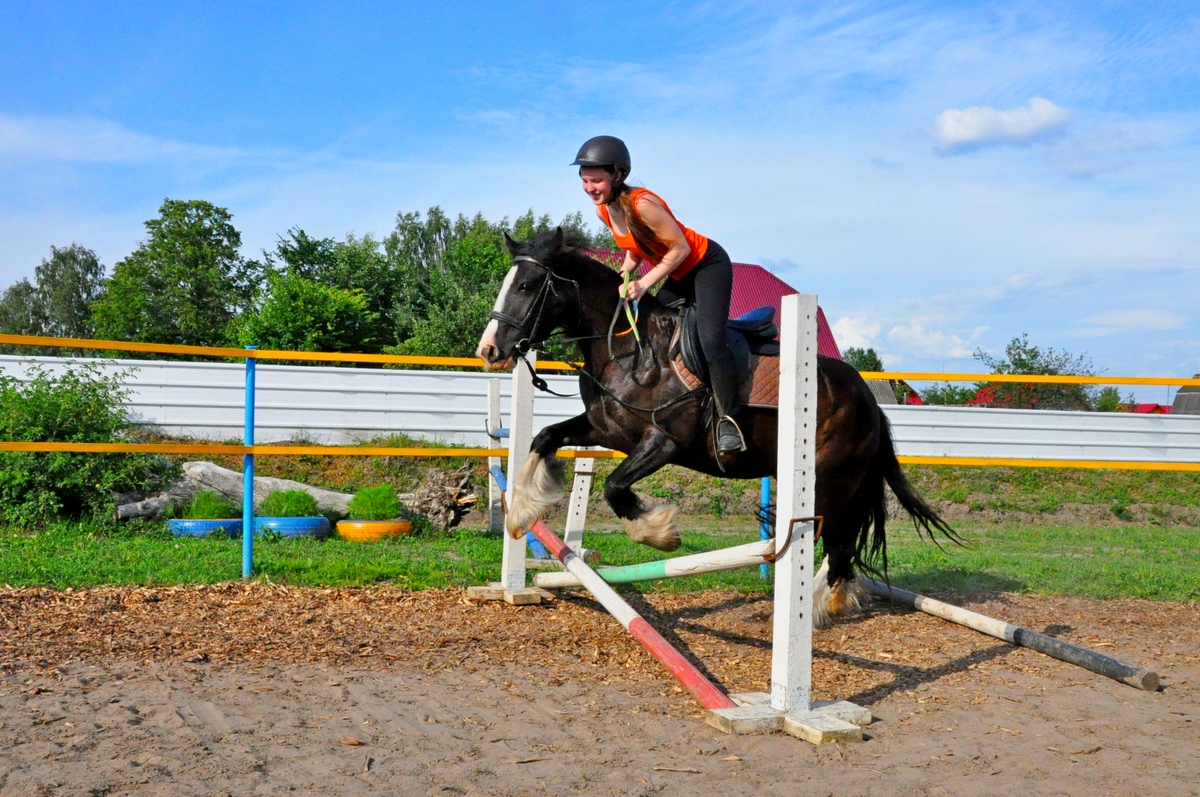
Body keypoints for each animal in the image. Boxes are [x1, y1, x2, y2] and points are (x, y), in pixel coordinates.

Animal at [476, 228, 956, 625]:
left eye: (526, 286)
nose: (489, 350)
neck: (630, 349)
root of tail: (868, 400)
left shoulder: (664, 442)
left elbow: (614, 487)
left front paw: (660, 534)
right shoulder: (606, 432)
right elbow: (544, 438)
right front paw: (522, 512)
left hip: (832, 481)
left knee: (835, 543)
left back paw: (816, 607)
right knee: (838, 545)